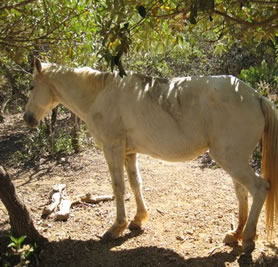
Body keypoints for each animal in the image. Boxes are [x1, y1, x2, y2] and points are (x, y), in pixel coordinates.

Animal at [23, 59, 278, 253]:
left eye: (32, 87)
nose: (27, 118)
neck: (100, 94)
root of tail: (256, 97)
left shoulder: (112, 149)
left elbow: (118, 187)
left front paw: (117, 227)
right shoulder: (129, 153)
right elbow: (136, 184)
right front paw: (138, 219)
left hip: (230, 159)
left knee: (259, 188)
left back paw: (248, 238)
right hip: (234, 160)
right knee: (241, 192)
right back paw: (236, 233)